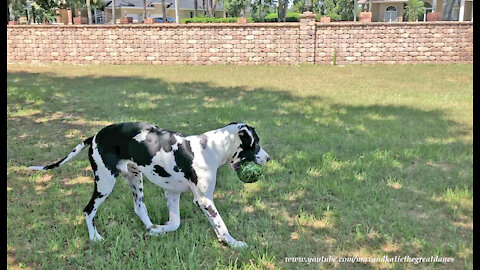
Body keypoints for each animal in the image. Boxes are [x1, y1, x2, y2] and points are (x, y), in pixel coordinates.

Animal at [29, 122, 270, 249]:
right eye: (256, 143)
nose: (268, 158)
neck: (209, 148)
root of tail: (95, 136)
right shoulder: (204, 200)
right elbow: (221, 225)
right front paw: (234, 243)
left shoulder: (172, 193)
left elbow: (175, 224)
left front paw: (159, 231)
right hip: (105, 182)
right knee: (89, 210)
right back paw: (94, 237)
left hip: (135, 179)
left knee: (139, 208)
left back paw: (150, 227)